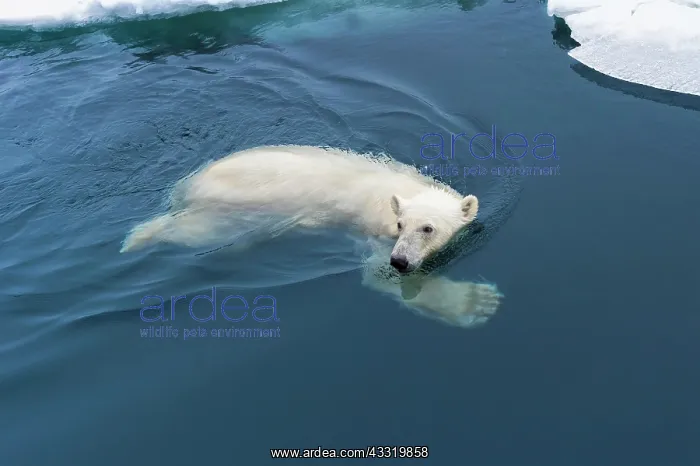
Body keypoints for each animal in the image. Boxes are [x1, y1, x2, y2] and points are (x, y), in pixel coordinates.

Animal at [121, 145, 503, 328]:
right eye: (400, 225)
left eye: (428, 228)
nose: (400, 261)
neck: (404, 189)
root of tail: (188, 185)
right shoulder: (374, 234)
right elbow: (377, 276)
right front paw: (477, 303)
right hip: (230, 210)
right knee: (192, 233)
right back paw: (136, 238)